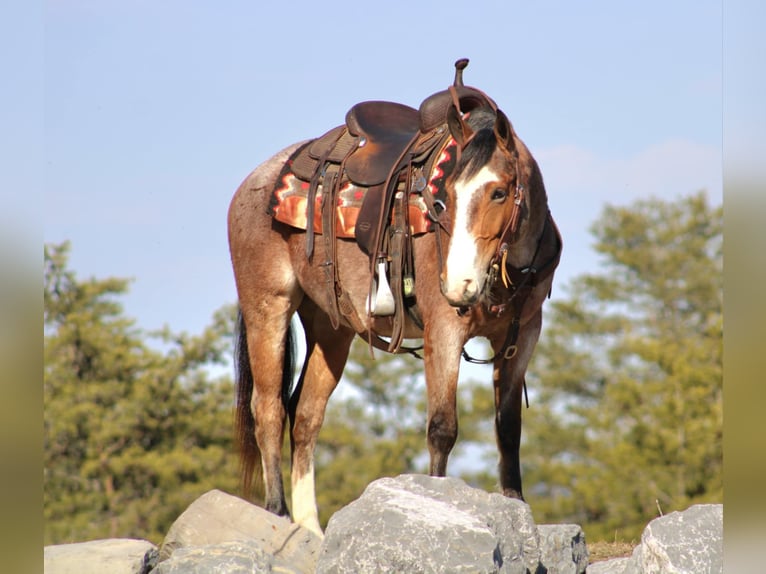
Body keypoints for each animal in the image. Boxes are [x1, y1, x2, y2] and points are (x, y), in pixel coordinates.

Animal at [228, 64, 564, 540]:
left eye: (499, 192)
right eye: (443, 199)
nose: (458, 284)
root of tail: (257, 180)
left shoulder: (523, 336)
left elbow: (508, 428)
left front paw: (517, 508)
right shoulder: (445, 331)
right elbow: (442, 427)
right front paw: (441, 506)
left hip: (331, 329)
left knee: (306, 415)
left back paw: (310, 528)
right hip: (268, 306)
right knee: (269, 407)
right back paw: (276, 512)